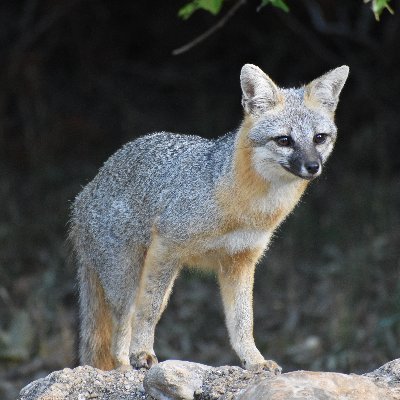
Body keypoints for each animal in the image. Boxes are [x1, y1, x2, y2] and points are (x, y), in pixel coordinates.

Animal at [70, 64, 348, 374]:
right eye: (285, 140)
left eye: (319, 138)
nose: (313, 166)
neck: (248, 208)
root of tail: (85, 193)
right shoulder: (167, 246)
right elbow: (149, 310)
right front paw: (142, 352)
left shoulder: (240, 261)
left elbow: (243, 323)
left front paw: (254, 361)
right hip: (129, 280)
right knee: (125, 323)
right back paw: (124, 365)